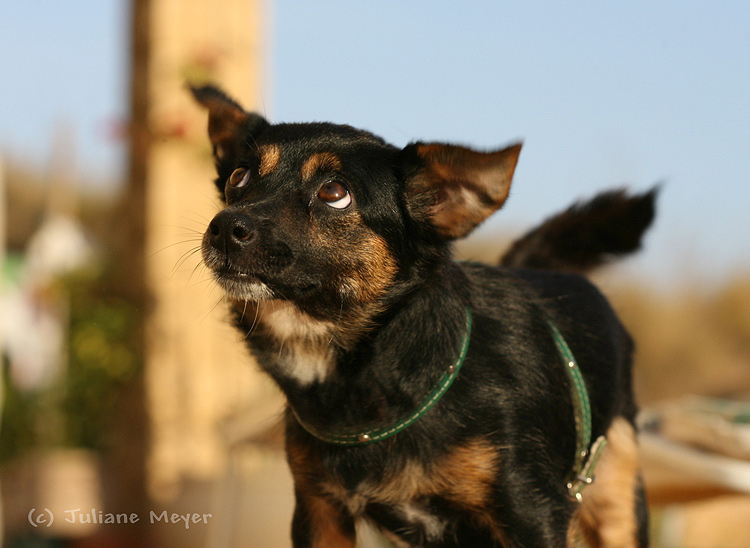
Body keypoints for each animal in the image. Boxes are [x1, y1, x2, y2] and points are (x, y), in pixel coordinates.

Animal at [191, 85, 656, 548]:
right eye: (238, 177)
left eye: (334, 193)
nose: (225, 227)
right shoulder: (319, 511)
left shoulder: (531, 511)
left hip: (617, 504)